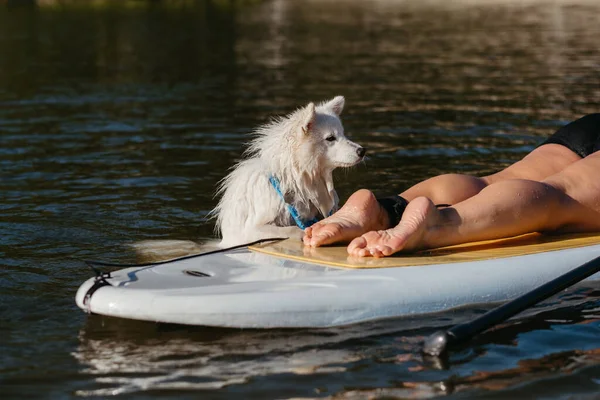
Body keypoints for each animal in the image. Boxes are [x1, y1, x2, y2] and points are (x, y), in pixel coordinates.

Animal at [133, 97, 364, 260]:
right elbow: (289, 229)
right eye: (330, 138)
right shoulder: (254, 228)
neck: (295, 180)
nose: (362, 150)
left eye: (343, 135)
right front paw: (301, 232)